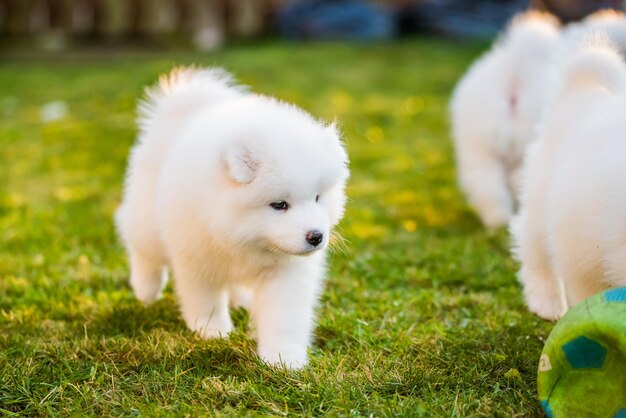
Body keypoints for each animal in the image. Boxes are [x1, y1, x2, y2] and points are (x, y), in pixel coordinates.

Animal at [114, 67, 348, 368]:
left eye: (318, 197)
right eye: (279, 205)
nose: (316, 236)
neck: (244, 237)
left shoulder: (285, 271)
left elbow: (284, 316)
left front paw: (284, 358)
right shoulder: (196, 257)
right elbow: (205, 300)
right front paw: (213, 332)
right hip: (147, 220)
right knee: (142, 247)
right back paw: (146, 288)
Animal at [510, 36, 624, 320]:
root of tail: (578, 91)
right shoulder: (581, 253)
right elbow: (588, 294)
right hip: (540, 201)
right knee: (533, 251)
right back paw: (547, 303)